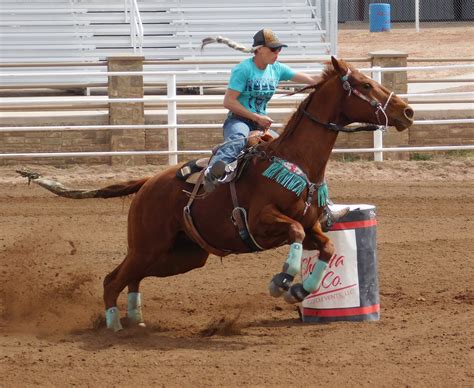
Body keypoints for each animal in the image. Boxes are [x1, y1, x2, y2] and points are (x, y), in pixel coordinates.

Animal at [18, 57, 412, 330]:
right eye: (364, 84)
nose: (407, 111)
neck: (295, 162)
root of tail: (147, 184)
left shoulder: (314, 226)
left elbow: (327, 247)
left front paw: (300, 290)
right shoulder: (262, 221)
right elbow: (296, 234)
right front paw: (282, 281)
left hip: (180, 255)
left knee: (132, 277)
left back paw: (135, 319)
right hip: (148, 246)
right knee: (112, 278)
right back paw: (114, 325)